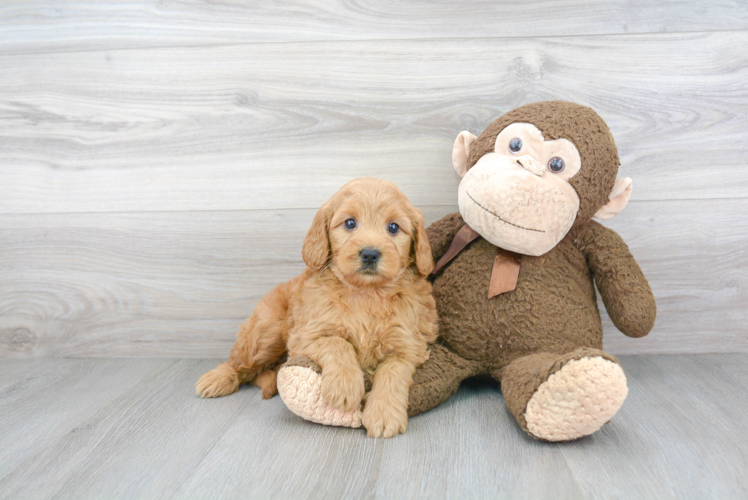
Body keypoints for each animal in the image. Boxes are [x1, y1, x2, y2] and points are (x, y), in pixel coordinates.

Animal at [196, 178, 436, 436]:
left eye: (393, 227)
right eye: (350, 223)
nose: (370, 254)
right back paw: (218, 379)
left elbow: (393, 372)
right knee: (241, 363)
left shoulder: (409, 345)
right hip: (268, 331)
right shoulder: (305, 335)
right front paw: (345, 386)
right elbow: (337, 343)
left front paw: (383, 414)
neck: (366, 293)